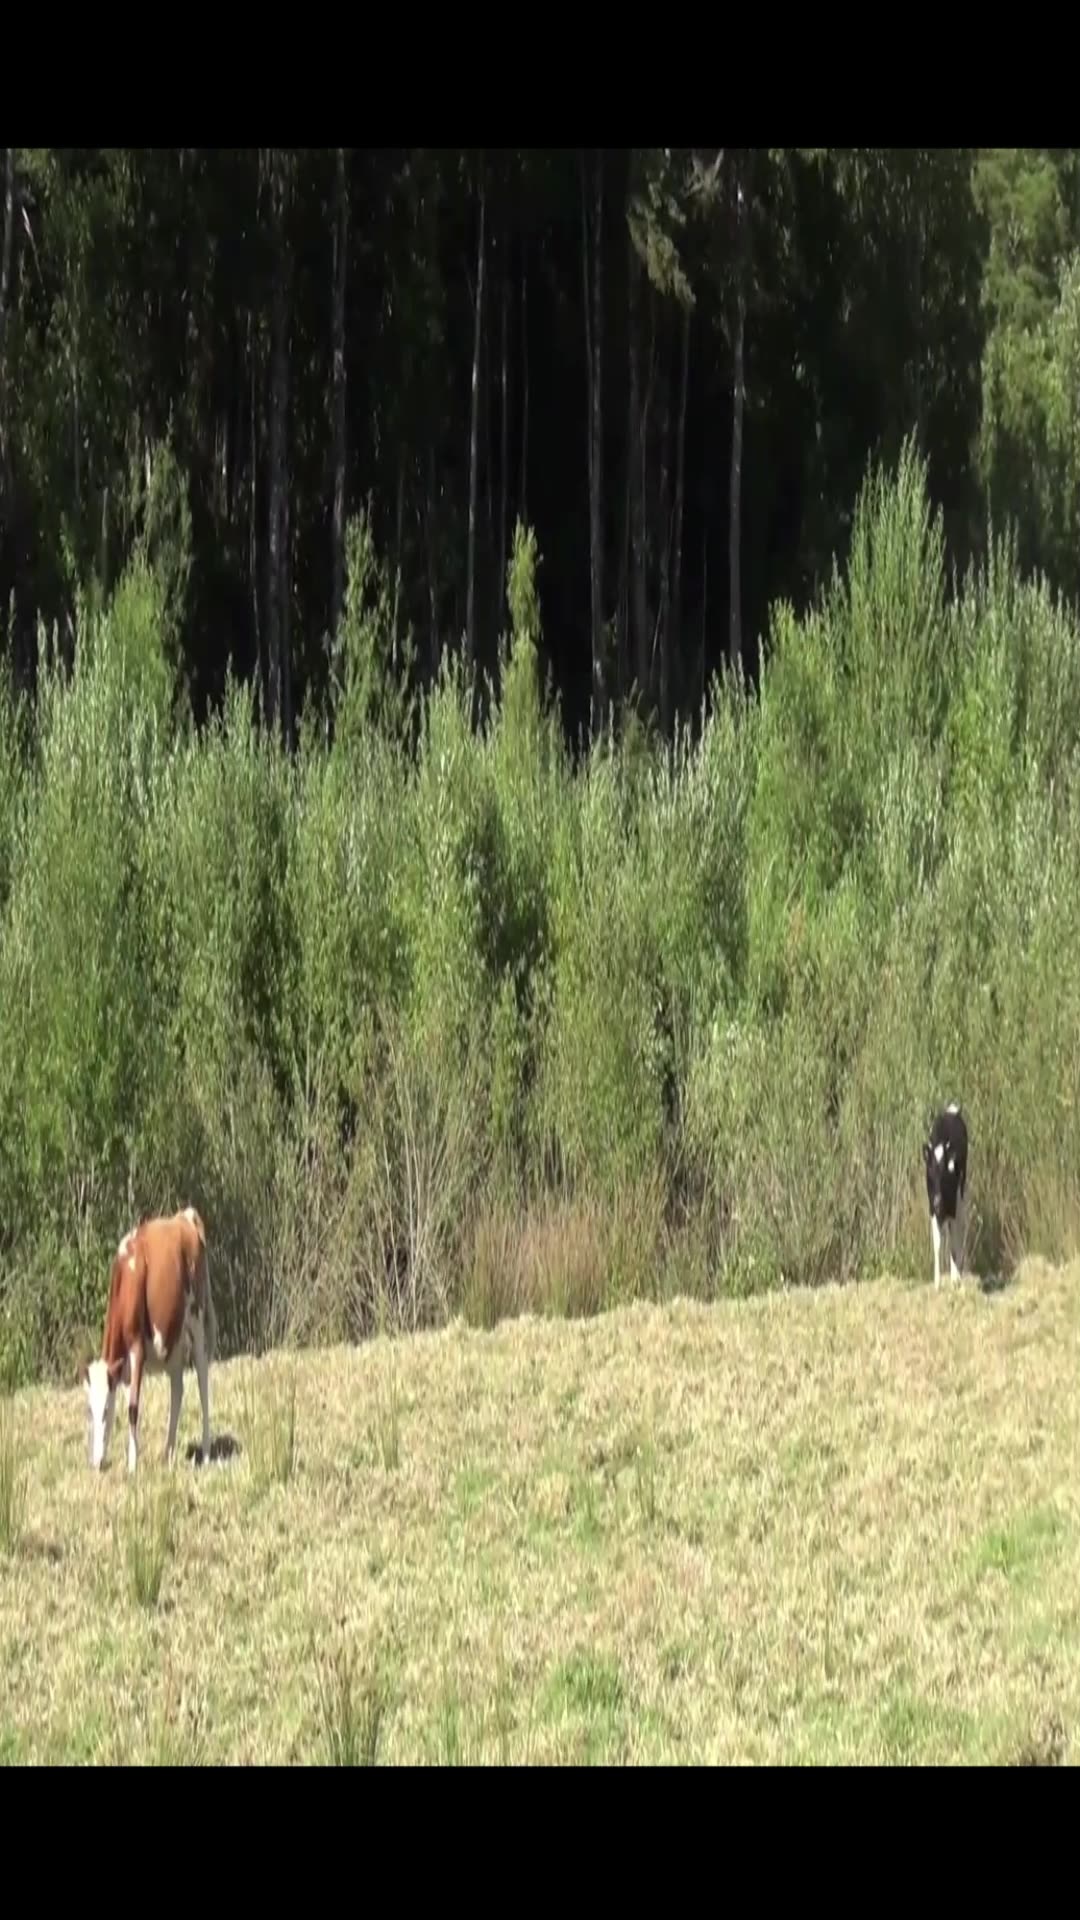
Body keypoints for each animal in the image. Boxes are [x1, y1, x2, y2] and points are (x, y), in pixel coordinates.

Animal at [81, 1206, 215, 1473]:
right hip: (173, 1338)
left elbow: (133, 1408)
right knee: (177, 1389)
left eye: (106, 1411)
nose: (97, 1463)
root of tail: (184, 1216)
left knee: (202, 1378)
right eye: (90, 1410)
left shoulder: (137, 1348)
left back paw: (205, 1452)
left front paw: (132, 1464)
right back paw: (168, 1452)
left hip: (196, 1318)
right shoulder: (122, 1368)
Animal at [922, 1103, 968, 1289]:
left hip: (961, 1197)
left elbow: (954, 1242)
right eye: (929, 1173)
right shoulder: (932, 1210)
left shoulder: (953, 1206)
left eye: (944, 1175)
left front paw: (956, 1280)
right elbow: (937, 1243)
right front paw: (937, 1283)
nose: (937, 1201)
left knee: (958, 1231)